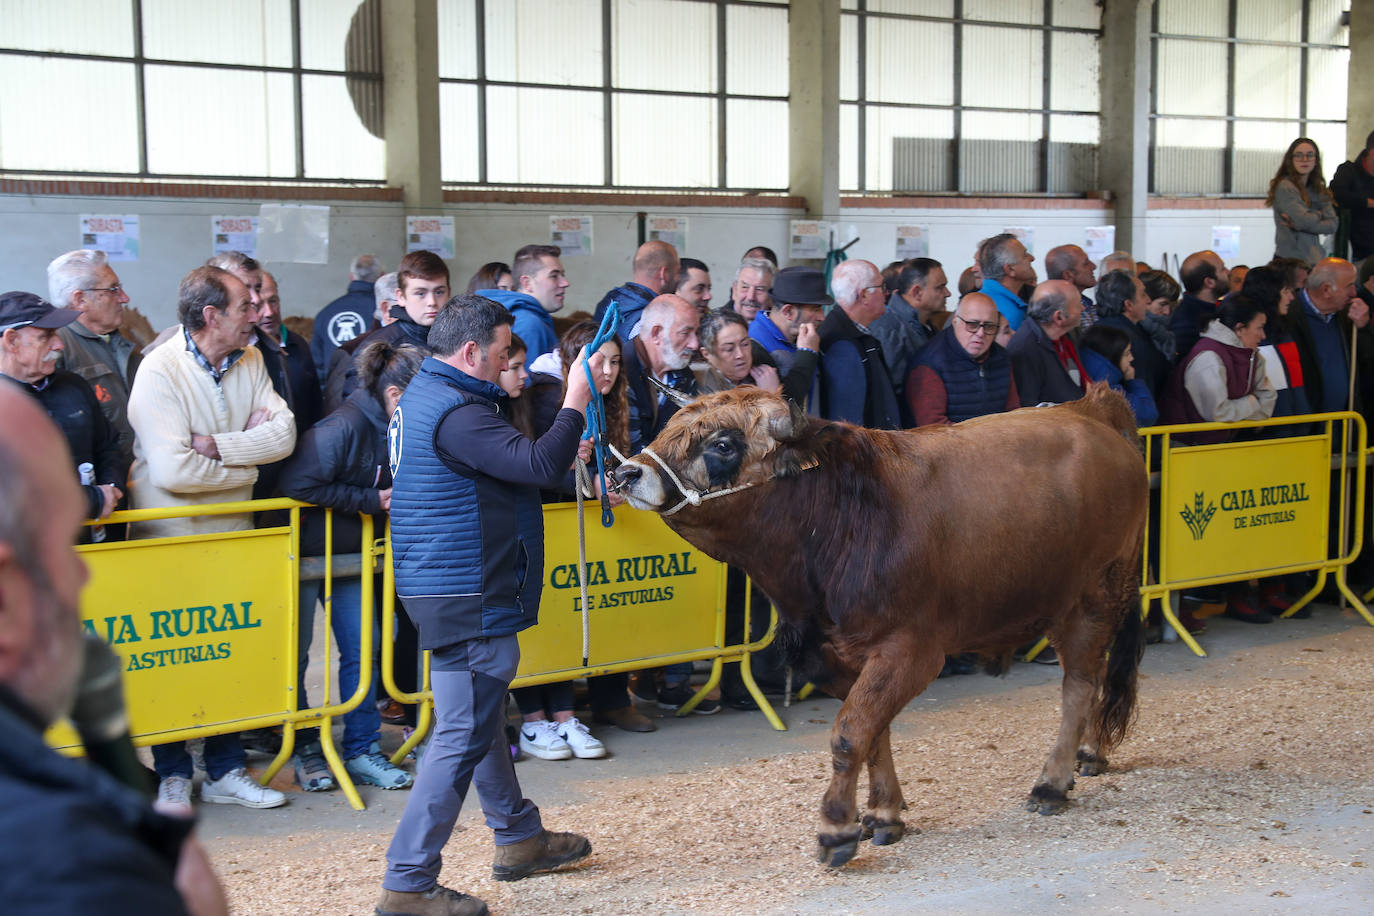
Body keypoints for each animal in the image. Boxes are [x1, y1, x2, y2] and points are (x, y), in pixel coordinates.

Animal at [612, 384, 1148, 867]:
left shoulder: (909, 651)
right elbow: (875, 733)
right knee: (1094, 676)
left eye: (723, 444)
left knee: (1079, 684)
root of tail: (1091, 408)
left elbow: (850, 733)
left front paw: (836, 827)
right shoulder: (836, 656)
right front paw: (882, 813)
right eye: (669, 428)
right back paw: (1087, 754)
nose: (625, 471)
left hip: (1094, 596)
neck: (841, 521)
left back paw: (1052, 782)